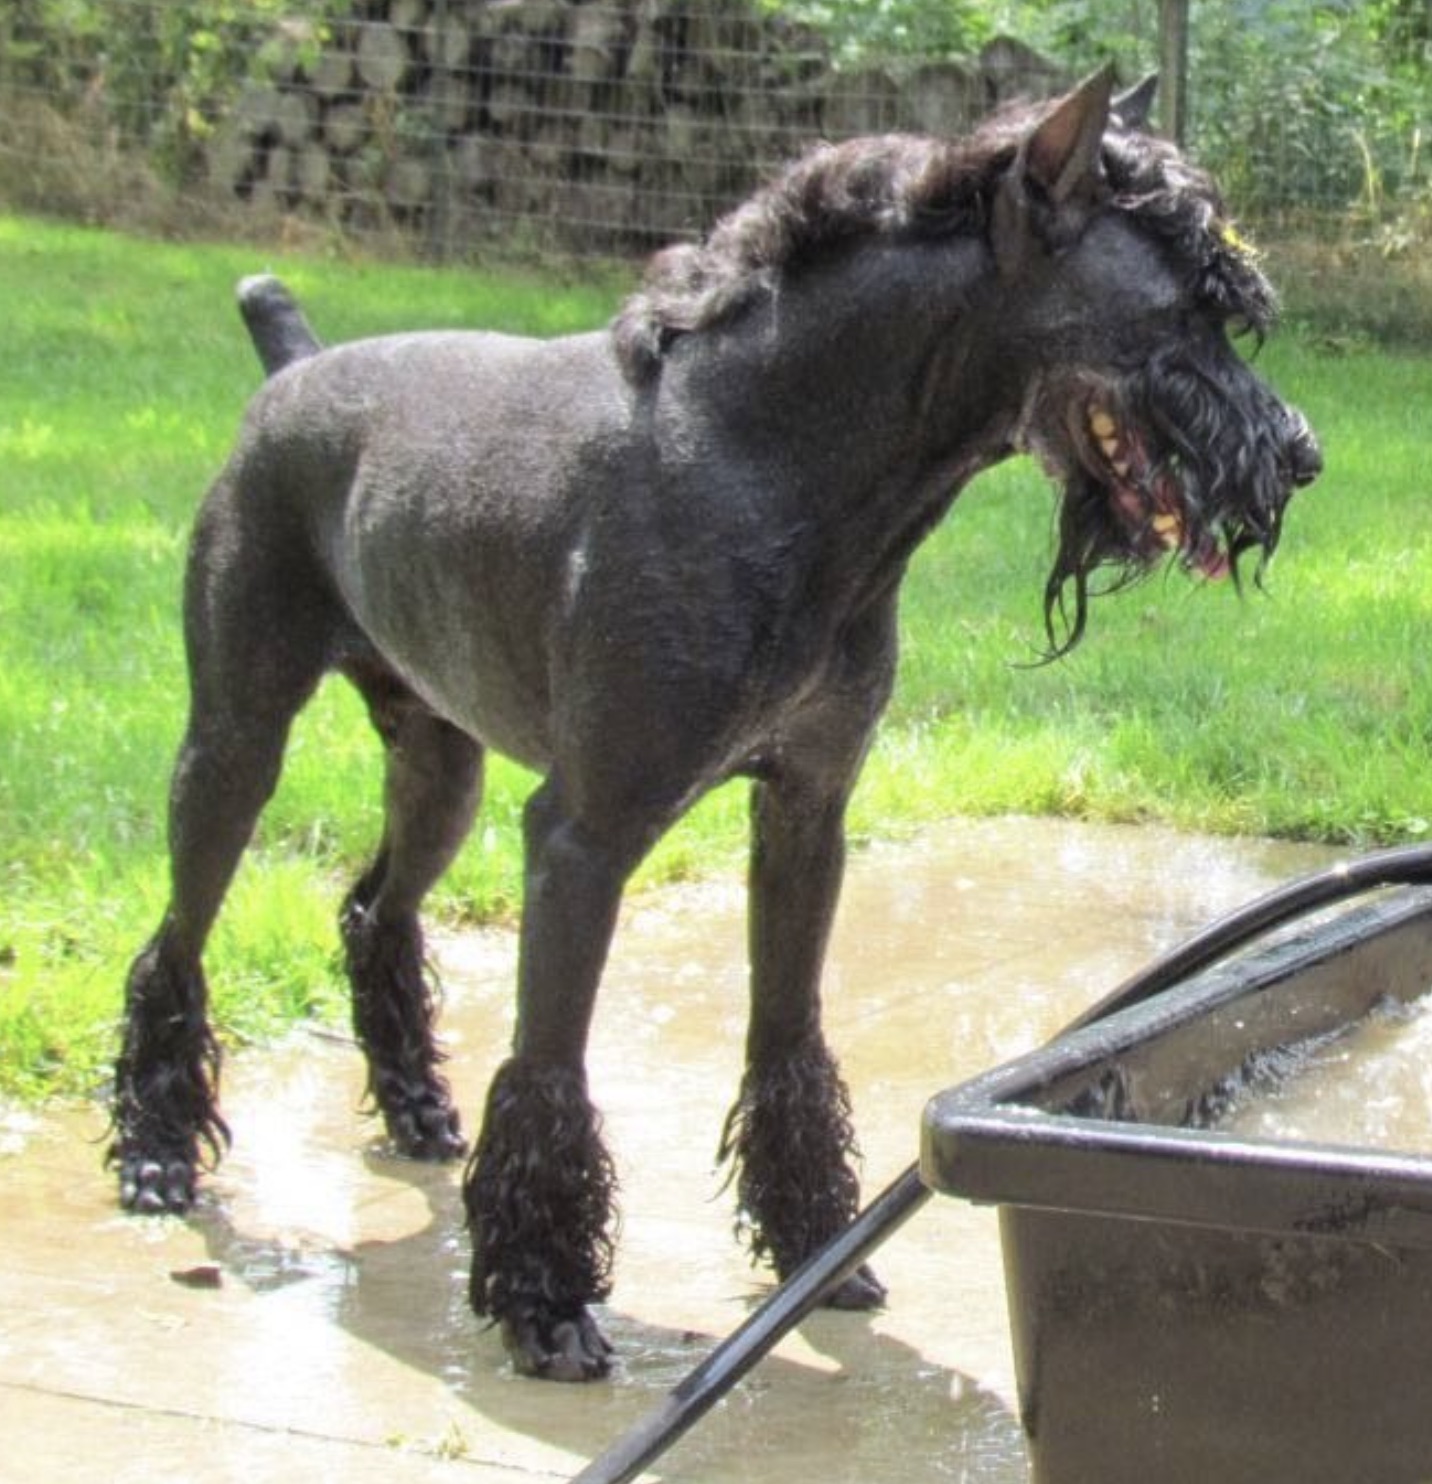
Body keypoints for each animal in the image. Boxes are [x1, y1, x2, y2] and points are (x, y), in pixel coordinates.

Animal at [112, 72, 1317, 1377]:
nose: (1299, 455)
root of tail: (291, 371)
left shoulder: (805, 811)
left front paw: (813, 1248)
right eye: (1186, 308)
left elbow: (785, 1039)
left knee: (375, 912)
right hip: (236, 739)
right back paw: (156, 1155)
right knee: (176, 943)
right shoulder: (582, 835)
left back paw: (418, 1107)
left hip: (440, 766)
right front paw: (543, 1298)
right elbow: (548, 1069)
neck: (770, 461)